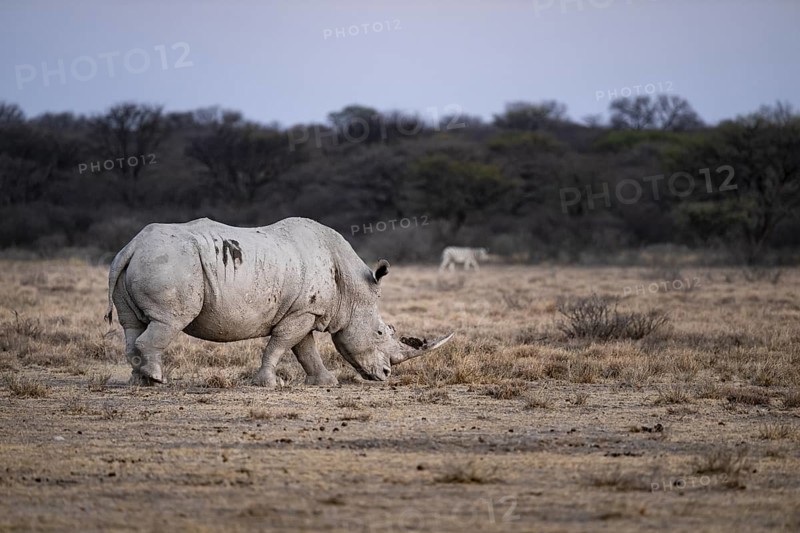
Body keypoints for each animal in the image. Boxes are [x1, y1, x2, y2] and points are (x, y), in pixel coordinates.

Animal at [105, 217, 453, 387]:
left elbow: (305, 349)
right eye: (381, 332)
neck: (352, 290)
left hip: (143, 261)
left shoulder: (307, 310)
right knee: (169, 320)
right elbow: (282, 344)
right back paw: (157, 379)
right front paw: (269, 383)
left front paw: (325, 383)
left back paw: (140, 381)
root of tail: (132, 246)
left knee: (133, 325)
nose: (385, 375)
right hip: (171, 263)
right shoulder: (303, 311)